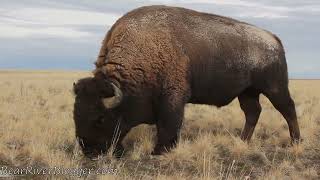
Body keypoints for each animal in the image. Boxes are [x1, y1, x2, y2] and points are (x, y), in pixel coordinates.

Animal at [72, 5, 300, 158]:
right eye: (75, 115)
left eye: (100, 118)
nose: (88, 150)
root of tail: (274, 40)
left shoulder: (173, 98)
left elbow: (168, 126)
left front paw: (159, 151)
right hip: (247, 92)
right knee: (253, 113)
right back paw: (242, 141)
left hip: (275, 88)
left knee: (288, 108)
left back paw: (295, 142)